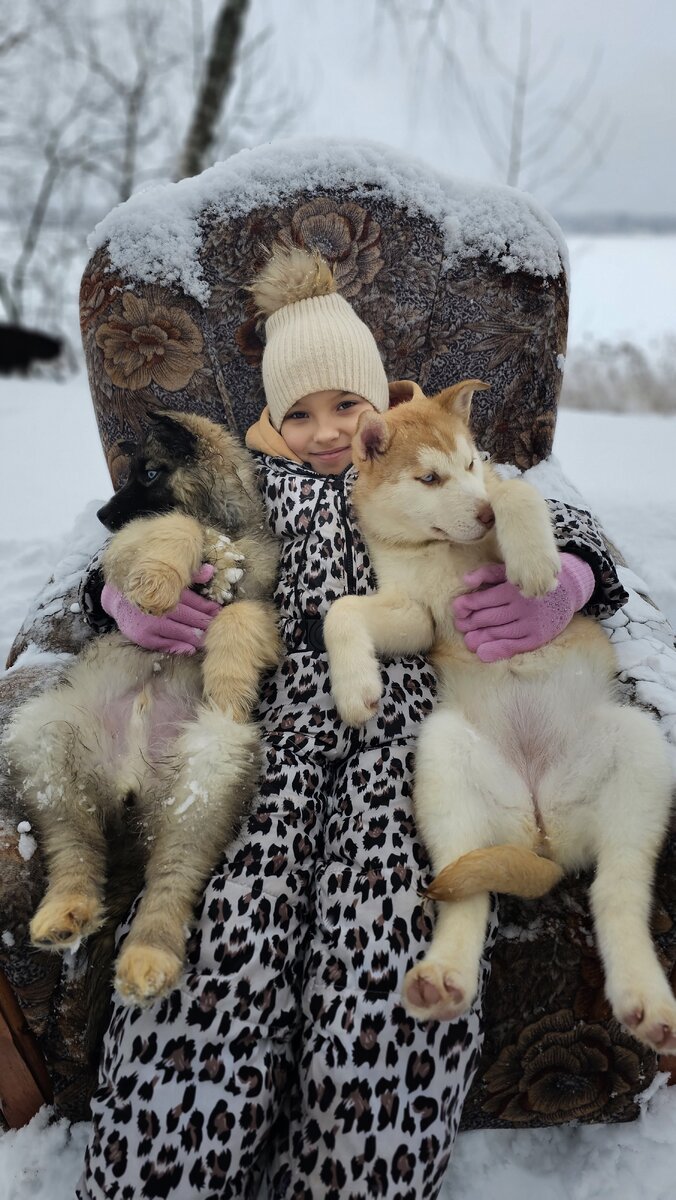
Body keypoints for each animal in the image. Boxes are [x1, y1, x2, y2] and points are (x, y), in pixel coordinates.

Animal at [5, 410, 280, 1003]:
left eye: (150, 471)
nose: (103, 517)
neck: (221, 527)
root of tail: (129, 783)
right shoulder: (130, 547)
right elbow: (172, 530)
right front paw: (159, 585)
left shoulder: (260, 601)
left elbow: (236, 618)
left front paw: (228, 686)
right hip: (46, 735)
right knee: (75, 846)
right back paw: (65, 910)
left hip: (208, 773)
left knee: (171, 878)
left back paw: (147, 955)